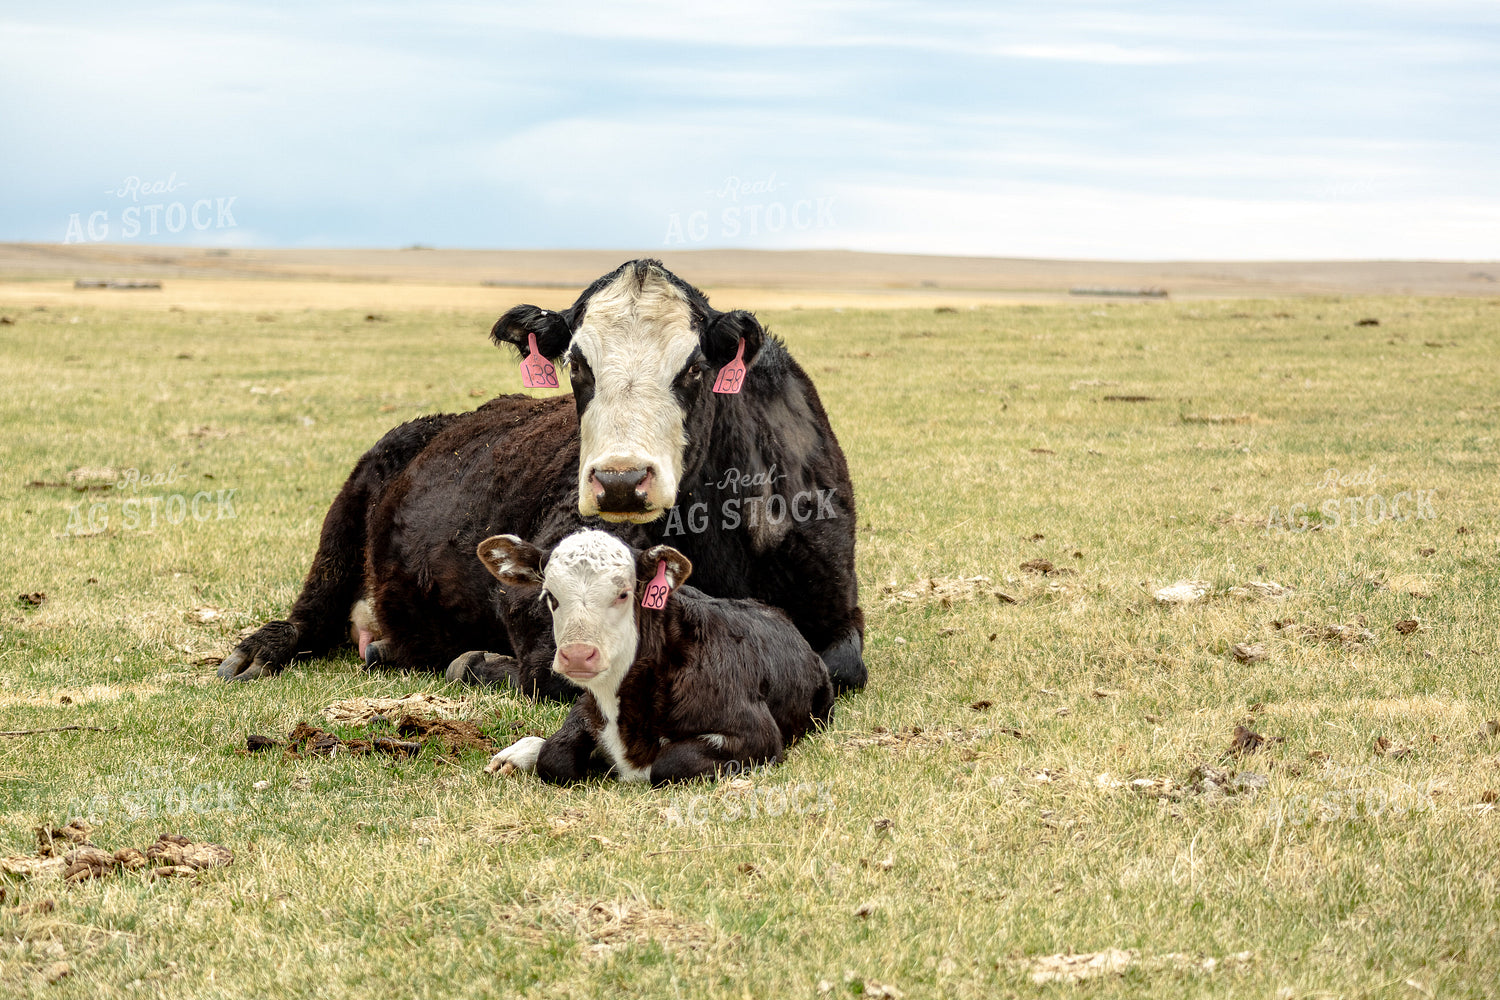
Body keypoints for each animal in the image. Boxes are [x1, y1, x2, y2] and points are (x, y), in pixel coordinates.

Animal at [218, 259, 866, 696]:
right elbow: (555, 667)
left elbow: (840, 667)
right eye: (577, 365)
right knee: (311, 613)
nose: (621, 481)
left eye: (696, 366)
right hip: (345, 514)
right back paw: (257, 653)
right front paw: (478, 662)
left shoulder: (838, 606)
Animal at [478, 530, 834, 784]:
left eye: (623, 593)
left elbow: (669, 764)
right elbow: (554, 757)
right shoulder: (587, 705)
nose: (577, 655)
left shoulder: (756, 733)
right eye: (550, 595)